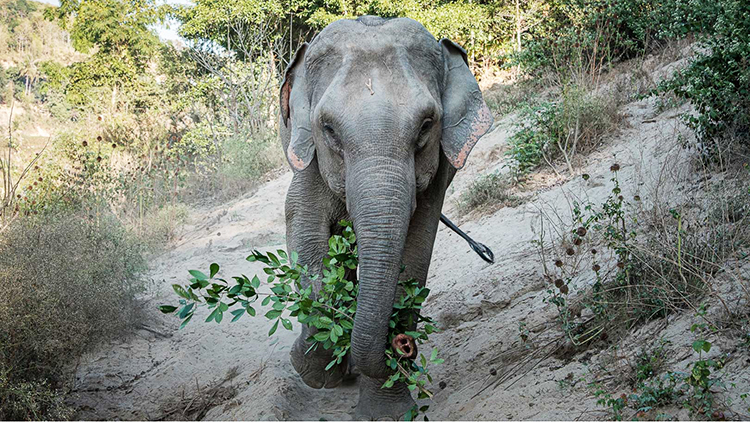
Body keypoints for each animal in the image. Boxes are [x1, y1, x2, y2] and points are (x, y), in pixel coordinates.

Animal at [280, 14, 496, 420]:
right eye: (328, 129)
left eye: (426, 125)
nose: (403, 346)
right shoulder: (306, 153)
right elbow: (305, 231)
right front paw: (314, 372)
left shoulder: (437, 171)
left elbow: (416, 249)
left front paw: (387, 411)